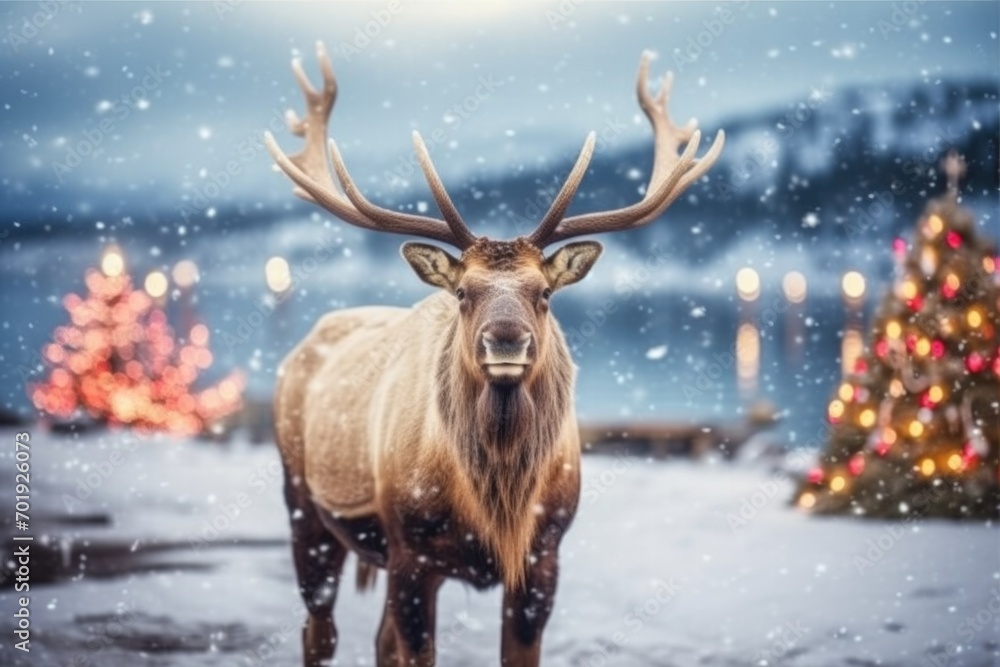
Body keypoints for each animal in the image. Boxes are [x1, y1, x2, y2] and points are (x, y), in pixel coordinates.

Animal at [266, 43, 720, 667]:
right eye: (462, 292)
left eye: (545, 292)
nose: (506, 339)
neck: (497, 507)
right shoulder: (412, 553)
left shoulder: (543, 555)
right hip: (303, 504)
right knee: (319, 630)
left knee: (377, 640)